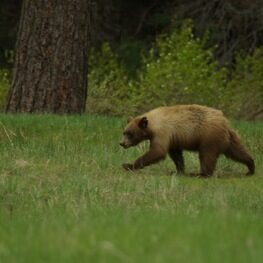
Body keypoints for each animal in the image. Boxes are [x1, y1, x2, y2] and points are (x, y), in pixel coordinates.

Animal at [119, 104, 256, 177]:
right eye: (124, 132)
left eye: (130, 134)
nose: (122, 143)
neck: (152, 124)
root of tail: (225, 121)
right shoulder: (173, 139)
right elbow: (176, 154)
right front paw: (179, 170)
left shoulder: (162, 132)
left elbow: (158, 151)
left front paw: (128, 165)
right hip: (228, 138)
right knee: (238, 152)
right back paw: (251, 167)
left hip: (209, 136)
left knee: (207, 155)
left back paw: (201, 174)